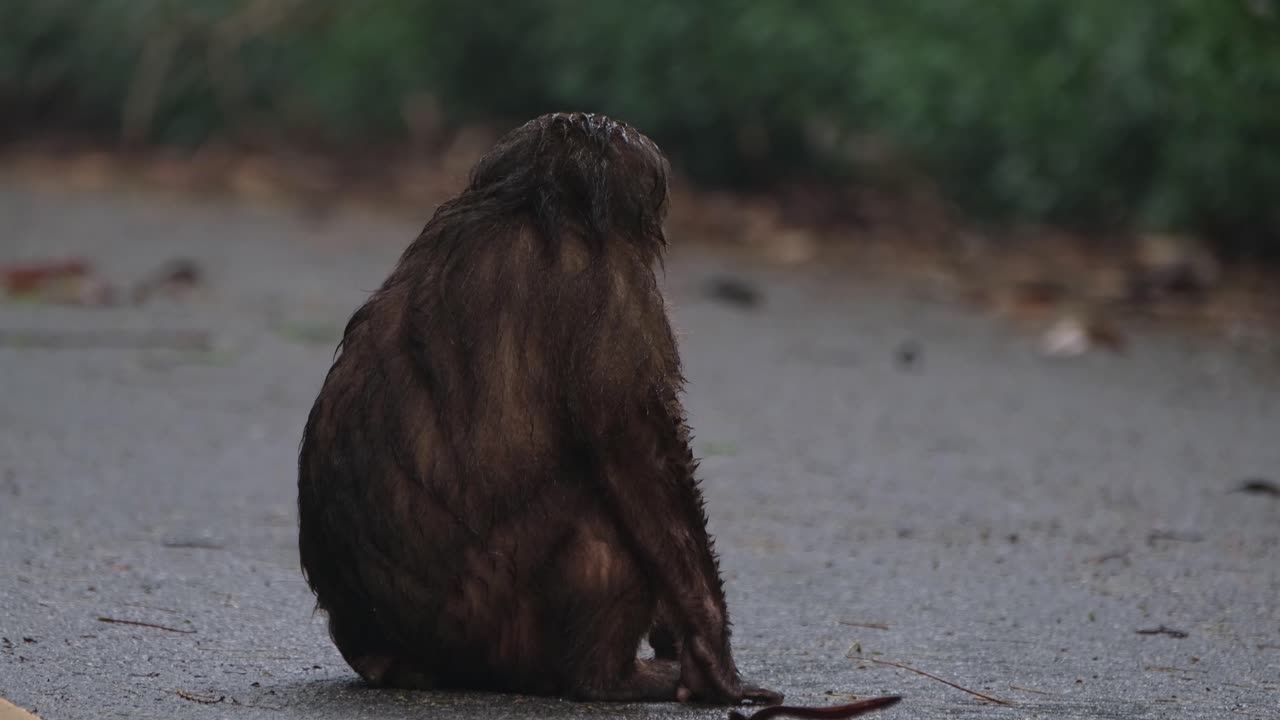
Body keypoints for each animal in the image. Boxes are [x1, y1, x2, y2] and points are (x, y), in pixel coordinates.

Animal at [297, 111, 899, 717]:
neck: (522, 208)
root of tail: (384, 658)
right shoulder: (614, 283)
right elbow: (639, 454)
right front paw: (708, 643)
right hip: (487, 632)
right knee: (602, 519)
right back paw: (609, 678)